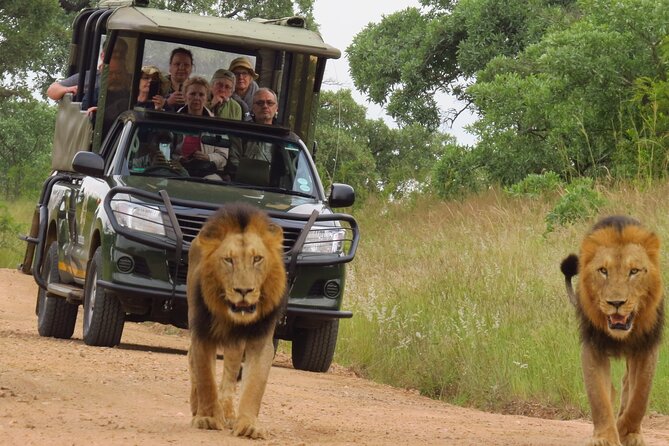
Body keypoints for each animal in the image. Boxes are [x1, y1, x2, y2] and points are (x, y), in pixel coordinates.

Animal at [187, 202, 286, 440]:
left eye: (257, 259)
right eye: (228, 260)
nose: (244, 291)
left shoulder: (261, 340)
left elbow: (254, 386)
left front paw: (249, 425)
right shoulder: (201, 334)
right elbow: (205, 377)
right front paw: (207, 418)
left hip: (235, 346)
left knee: (230, 377)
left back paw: (229, 413)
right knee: (192, 361)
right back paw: (198, 408)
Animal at [560, 216, 664, 446]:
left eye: (633, 271)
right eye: (603, 271)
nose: (616, 303)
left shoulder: (647, 346)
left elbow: (640, 396)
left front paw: (627, 432)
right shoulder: (592, 347)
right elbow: (599, 396)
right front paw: (605, 437)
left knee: (628, 385)